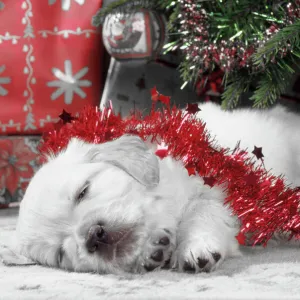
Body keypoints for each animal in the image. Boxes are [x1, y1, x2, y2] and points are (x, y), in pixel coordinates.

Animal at [10, 102, 300, 274]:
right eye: (60, 254)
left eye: (83, 191)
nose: (93, 236)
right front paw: (152, 251)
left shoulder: (216, 189)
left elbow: (201, 212)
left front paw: (196, 248)